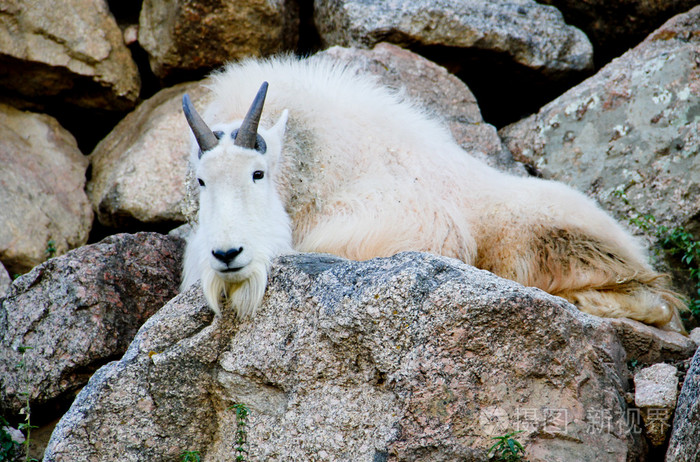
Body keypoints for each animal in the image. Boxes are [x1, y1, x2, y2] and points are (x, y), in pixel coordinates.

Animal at [179, 54, 684, 332]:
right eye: (202, 180)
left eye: (258, 173)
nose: (227, 254)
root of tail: (636, 249)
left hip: (547, 239)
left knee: (658, 304)